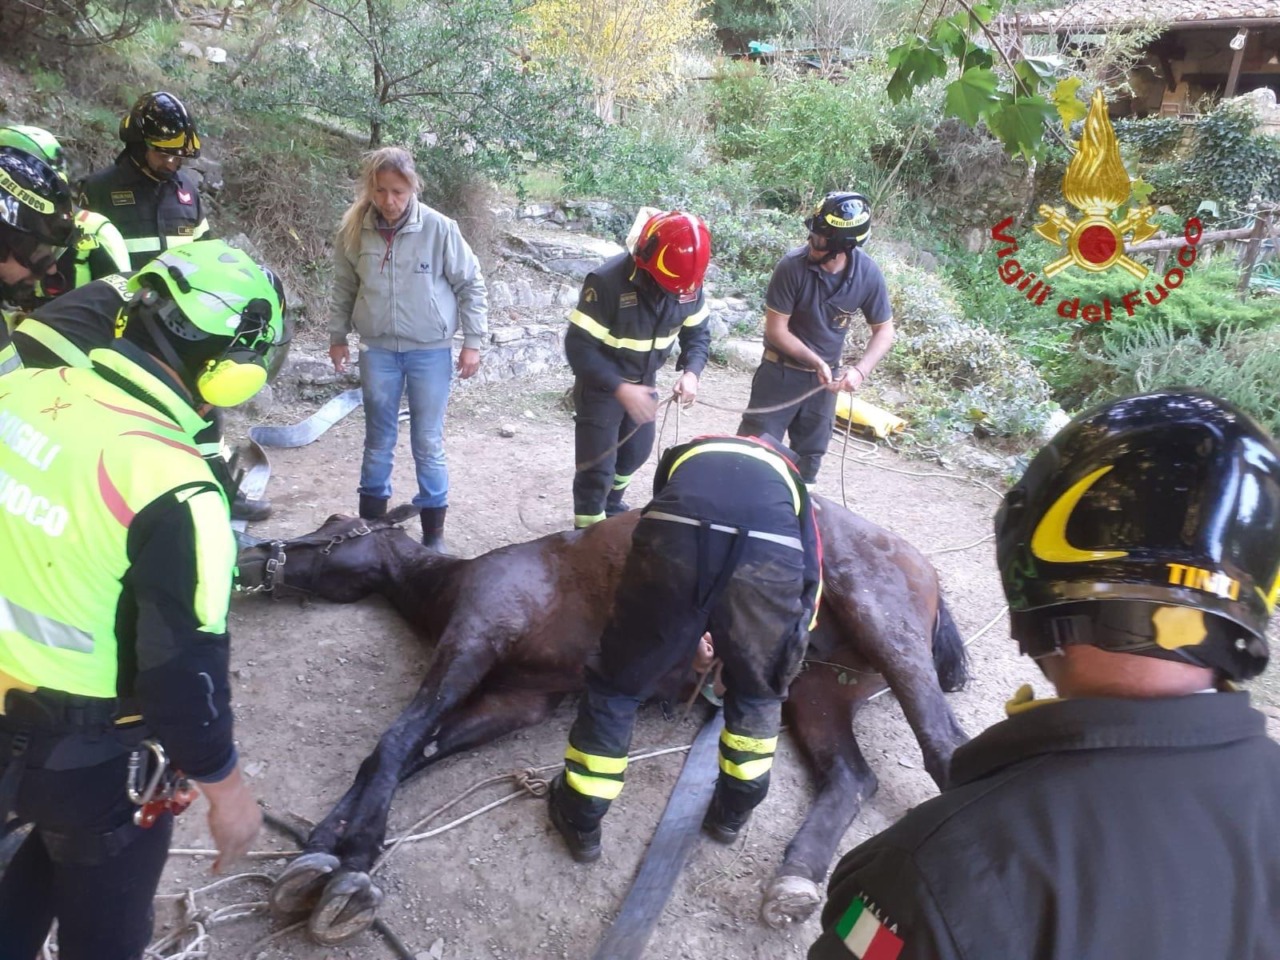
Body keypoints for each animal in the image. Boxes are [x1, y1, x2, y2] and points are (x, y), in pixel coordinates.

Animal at [235, 498, 970, 945]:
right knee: (852, 777)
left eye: (333, 527)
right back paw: (796, 878)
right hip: (815, 688)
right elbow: (416, 750)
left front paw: (354, 862)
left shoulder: (475, 638)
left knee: (944, 749)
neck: (453, 583)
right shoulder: (520, 699)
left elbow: (395, 741)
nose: (251, 556)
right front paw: (317, 849)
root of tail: (926, 567)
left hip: (885, 626)